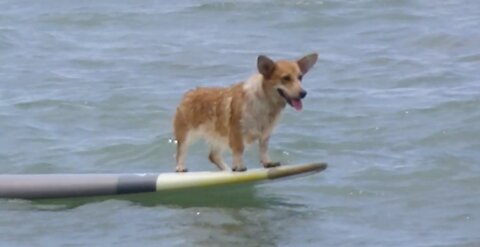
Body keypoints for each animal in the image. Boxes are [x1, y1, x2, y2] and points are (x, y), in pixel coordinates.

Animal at [173, 52, 318, 172]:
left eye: (300, 77)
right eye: (286, 78)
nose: (303, 93)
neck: (266, 103)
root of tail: (189, 93)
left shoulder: (265, 134)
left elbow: (263, 150)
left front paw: (268, 163)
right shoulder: (236, 131)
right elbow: (239, 150)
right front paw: (240, 166)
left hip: (220, 135)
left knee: (213, 155)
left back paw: (226, 169)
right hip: (186, 134)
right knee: (181, 151)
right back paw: (181, 167)